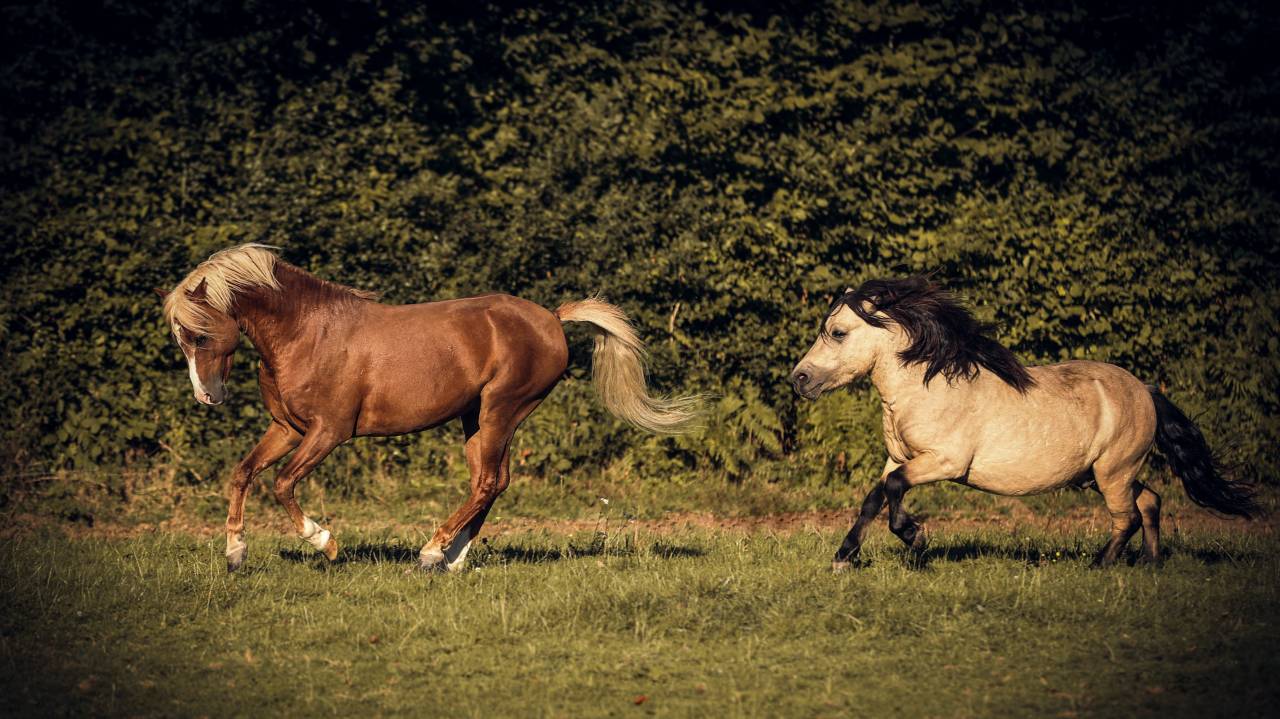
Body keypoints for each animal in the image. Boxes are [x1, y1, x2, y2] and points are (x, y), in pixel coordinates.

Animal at [158, 244, 698, 573]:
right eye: (180, 337)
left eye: (200, 334)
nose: (208, 396)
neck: (309, 332)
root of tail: (551, 317)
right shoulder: (287, 427)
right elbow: (244, 474)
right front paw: (235, 553)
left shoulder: (328, 431)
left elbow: (283, 483)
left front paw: (325, 542)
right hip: (475, 418)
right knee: (492, 482)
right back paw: (452, 558)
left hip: (502, 409)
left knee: (487, 482)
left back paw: (430, 552)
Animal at [789, 276, 1257, 570]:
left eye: (838, 333)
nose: (799, 378)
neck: (927, 387)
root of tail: (1146, 390)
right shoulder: (899, 457)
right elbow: (875, 497)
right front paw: (843, 557)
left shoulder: (945, 462)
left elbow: (893, 489)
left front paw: (915, 537)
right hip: (1102, 474)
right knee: (1150, 502)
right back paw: (1150, 562)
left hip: (1112, 472)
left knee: (1127, 516)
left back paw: (1101, 564)